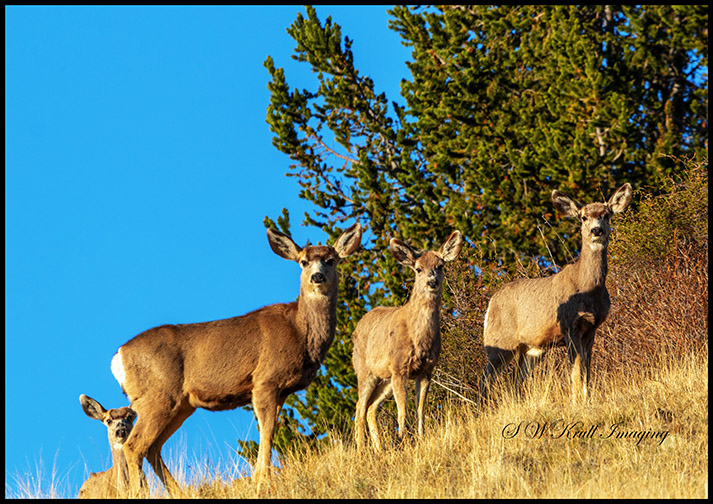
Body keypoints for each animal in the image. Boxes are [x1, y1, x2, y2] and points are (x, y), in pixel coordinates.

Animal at [109, 223, 362, 496]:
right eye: (303, 262)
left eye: (330, 260)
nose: (317, 277)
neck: (299, 331)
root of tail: (118, 357)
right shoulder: (264, 380)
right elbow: (267, 431)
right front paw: (261, 480)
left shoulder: (282, 391)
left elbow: (270, 431)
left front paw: (260, 478)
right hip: (157, 396)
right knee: (134, 445)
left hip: (181, 405)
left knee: (153, 447)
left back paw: (180, 492)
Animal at [352, 230, 463, 451]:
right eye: (418, 269)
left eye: (440, 266)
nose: (432, 282)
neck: (418, 338)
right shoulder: (399, 367)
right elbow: (402, 408)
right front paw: (403, 438)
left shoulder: (427, 369)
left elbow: (420, 408)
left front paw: (420, 437)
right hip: (365, 372)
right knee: (359, 409)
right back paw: (361, 451)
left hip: (384, 378)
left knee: (370, 408)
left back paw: (379, 450)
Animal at [480, 183, 633, 404]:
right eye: (583, 217)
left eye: (606, 215)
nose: (596, 230)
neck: (588, 289)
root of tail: (490, 303)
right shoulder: (570, 325)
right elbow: (576, 371)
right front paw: (577, 402)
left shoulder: (592, 328)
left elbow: (587, 370)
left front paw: (586, 399)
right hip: (499, 341)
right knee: (485, 378)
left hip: (532, 349)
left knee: (515, 380)